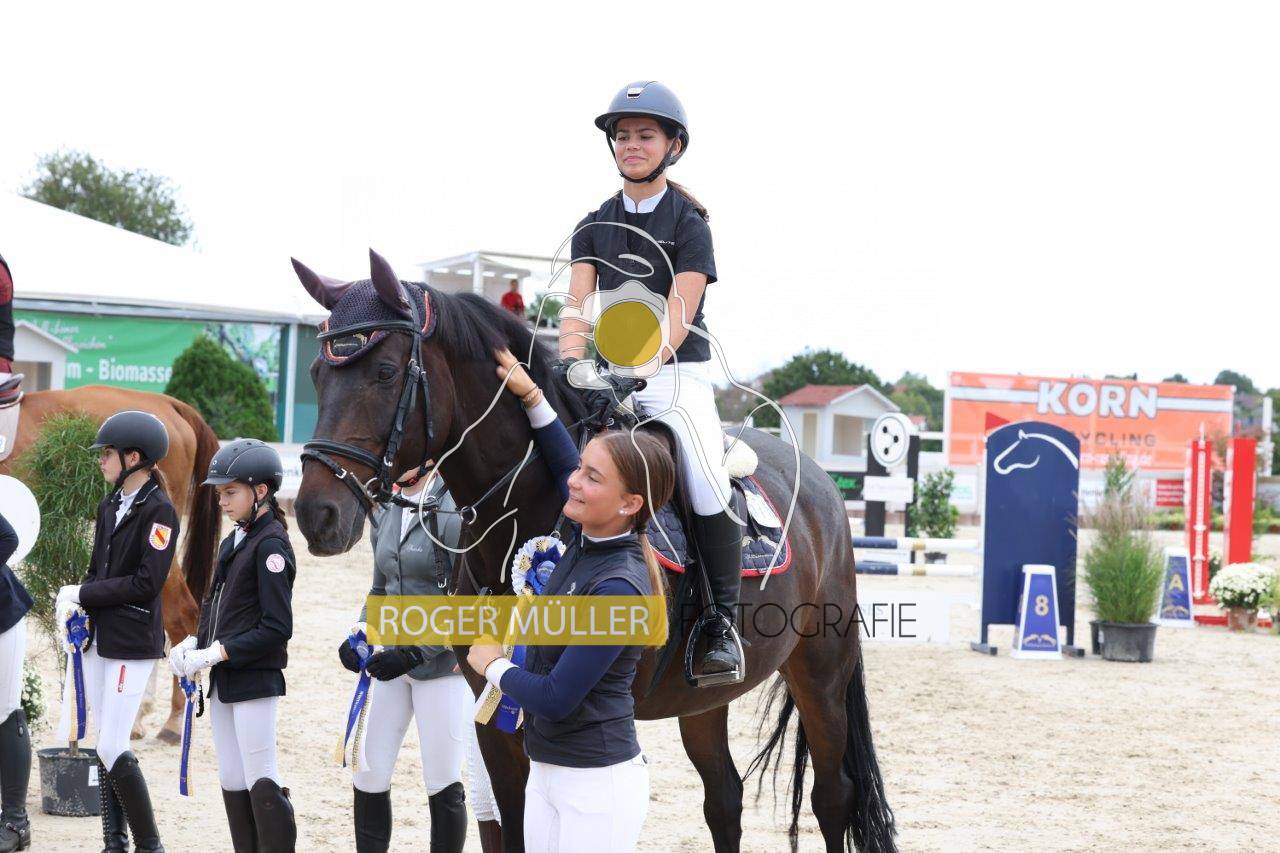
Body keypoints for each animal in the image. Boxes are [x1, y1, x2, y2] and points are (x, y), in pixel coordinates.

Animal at [291, 251, 897, 853]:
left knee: (832, 796)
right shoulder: (496, 721)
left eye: (385, 372)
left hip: (821, 673)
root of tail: (821, 481)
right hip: (704, 699)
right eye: (317, 374)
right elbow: (513, 825)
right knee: (724, 798)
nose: (316, 514)